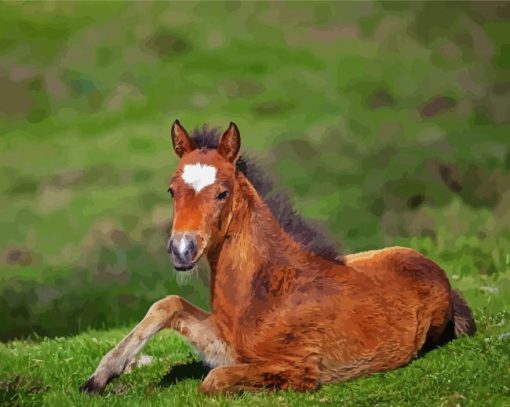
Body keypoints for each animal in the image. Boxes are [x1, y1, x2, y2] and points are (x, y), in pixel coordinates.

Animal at [79, 120, 474, 396]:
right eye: (172, 190)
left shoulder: (298, 366)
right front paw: (100, 376)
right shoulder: (229, 345)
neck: (269, 286)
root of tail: (436, 270)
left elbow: (213, 380)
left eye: (222, 193)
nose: (182, 249)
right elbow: (168, 304)